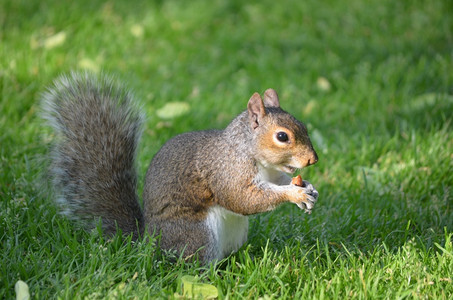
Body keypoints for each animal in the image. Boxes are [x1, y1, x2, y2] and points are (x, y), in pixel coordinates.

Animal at [41, 72, 318, 262]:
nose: (312, 160)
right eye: (282, 136)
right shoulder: (227, 171)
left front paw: (308, 188)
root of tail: (148, 241)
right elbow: (242, 198)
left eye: (304, 125)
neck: (250, 152)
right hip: (197, 235)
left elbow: (276, 184)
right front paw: (294, 194)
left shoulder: (273, 174)